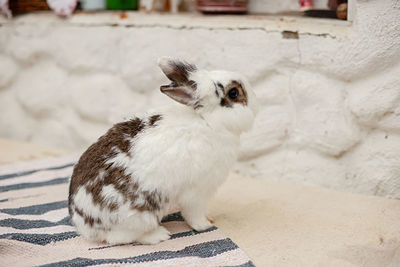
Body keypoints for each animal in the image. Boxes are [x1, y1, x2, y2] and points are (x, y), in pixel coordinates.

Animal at [67, 57, 258, 246]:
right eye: (233, 93)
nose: (256, 99)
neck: (207, 120)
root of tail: (85, 227)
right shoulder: (197, 191)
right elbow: (193, 213)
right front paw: (206, 225)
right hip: (139, 216)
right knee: (120, 237)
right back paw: (159, 235)